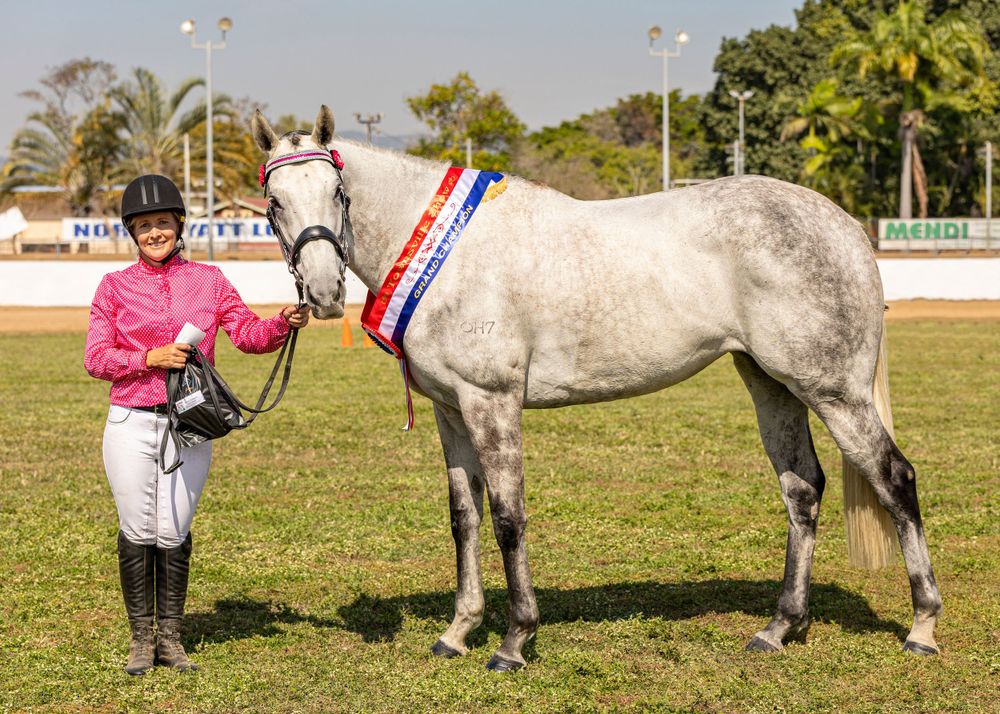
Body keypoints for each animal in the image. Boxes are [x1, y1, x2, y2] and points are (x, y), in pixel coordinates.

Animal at [251, 106, 941, 671]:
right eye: (274, 202)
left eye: (337, 191)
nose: (324, 292)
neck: (446, 253)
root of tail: (844, 225)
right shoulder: (451, 410)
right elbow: (464, 519)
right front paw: (457, 632)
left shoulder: (491, 402)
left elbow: (507, 517)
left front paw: (514, 641)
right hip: (771, 383)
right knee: (802, 489)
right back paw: (779, 628)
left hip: (834, 391)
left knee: (895, 478)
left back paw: (922, 627)